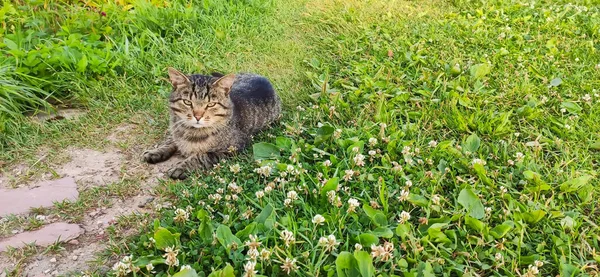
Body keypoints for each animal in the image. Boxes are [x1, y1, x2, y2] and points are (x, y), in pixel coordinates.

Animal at [143, 67, 282, 179]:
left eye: (211, 104)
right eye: (187, 102)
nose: (197, 116)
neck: (190, 131)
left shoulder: (231, 149)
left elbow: (201, 156)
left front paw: (181, 167)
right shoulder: (177, 129)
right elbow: (170, 140)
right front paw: (156, 151)